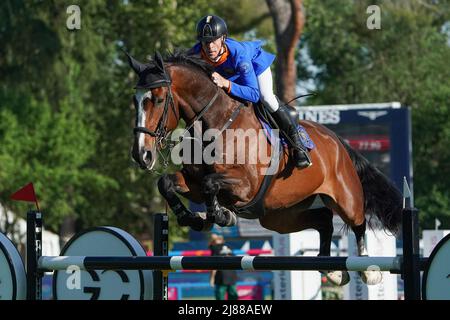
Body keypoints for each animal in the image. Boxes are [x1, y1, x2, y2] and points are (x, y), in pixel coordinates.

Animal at [125, 51, 402, 286]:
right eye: (135, 101)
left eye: (158, 99)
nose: (141, 155)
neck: (216, 123)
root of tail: (336, 140)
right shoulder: (191, 182)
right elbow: (167, 183)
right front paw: (191, 218)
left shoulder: (245, 185)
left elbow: (210, 183)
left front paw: (221, 215)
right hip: (280, 215)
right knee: (324, 219)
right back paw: (333, 272)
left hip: (345, 198)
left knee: (358, 222)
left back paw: (368, 271)